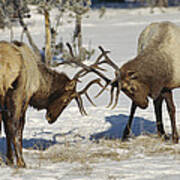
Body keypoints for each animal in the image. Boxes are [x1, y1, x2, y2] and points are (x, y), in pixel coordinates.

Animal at [0, 8, 111, 167]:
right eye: (66, 100)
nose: (51, 118)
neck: (39, 83)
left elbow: (6, 128)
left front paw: (9, 160)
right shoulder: (24, 97)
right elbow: (17, 128)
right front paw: (16, 160)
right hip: (15, 93)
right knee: (14, 125)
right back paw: (22, 162)